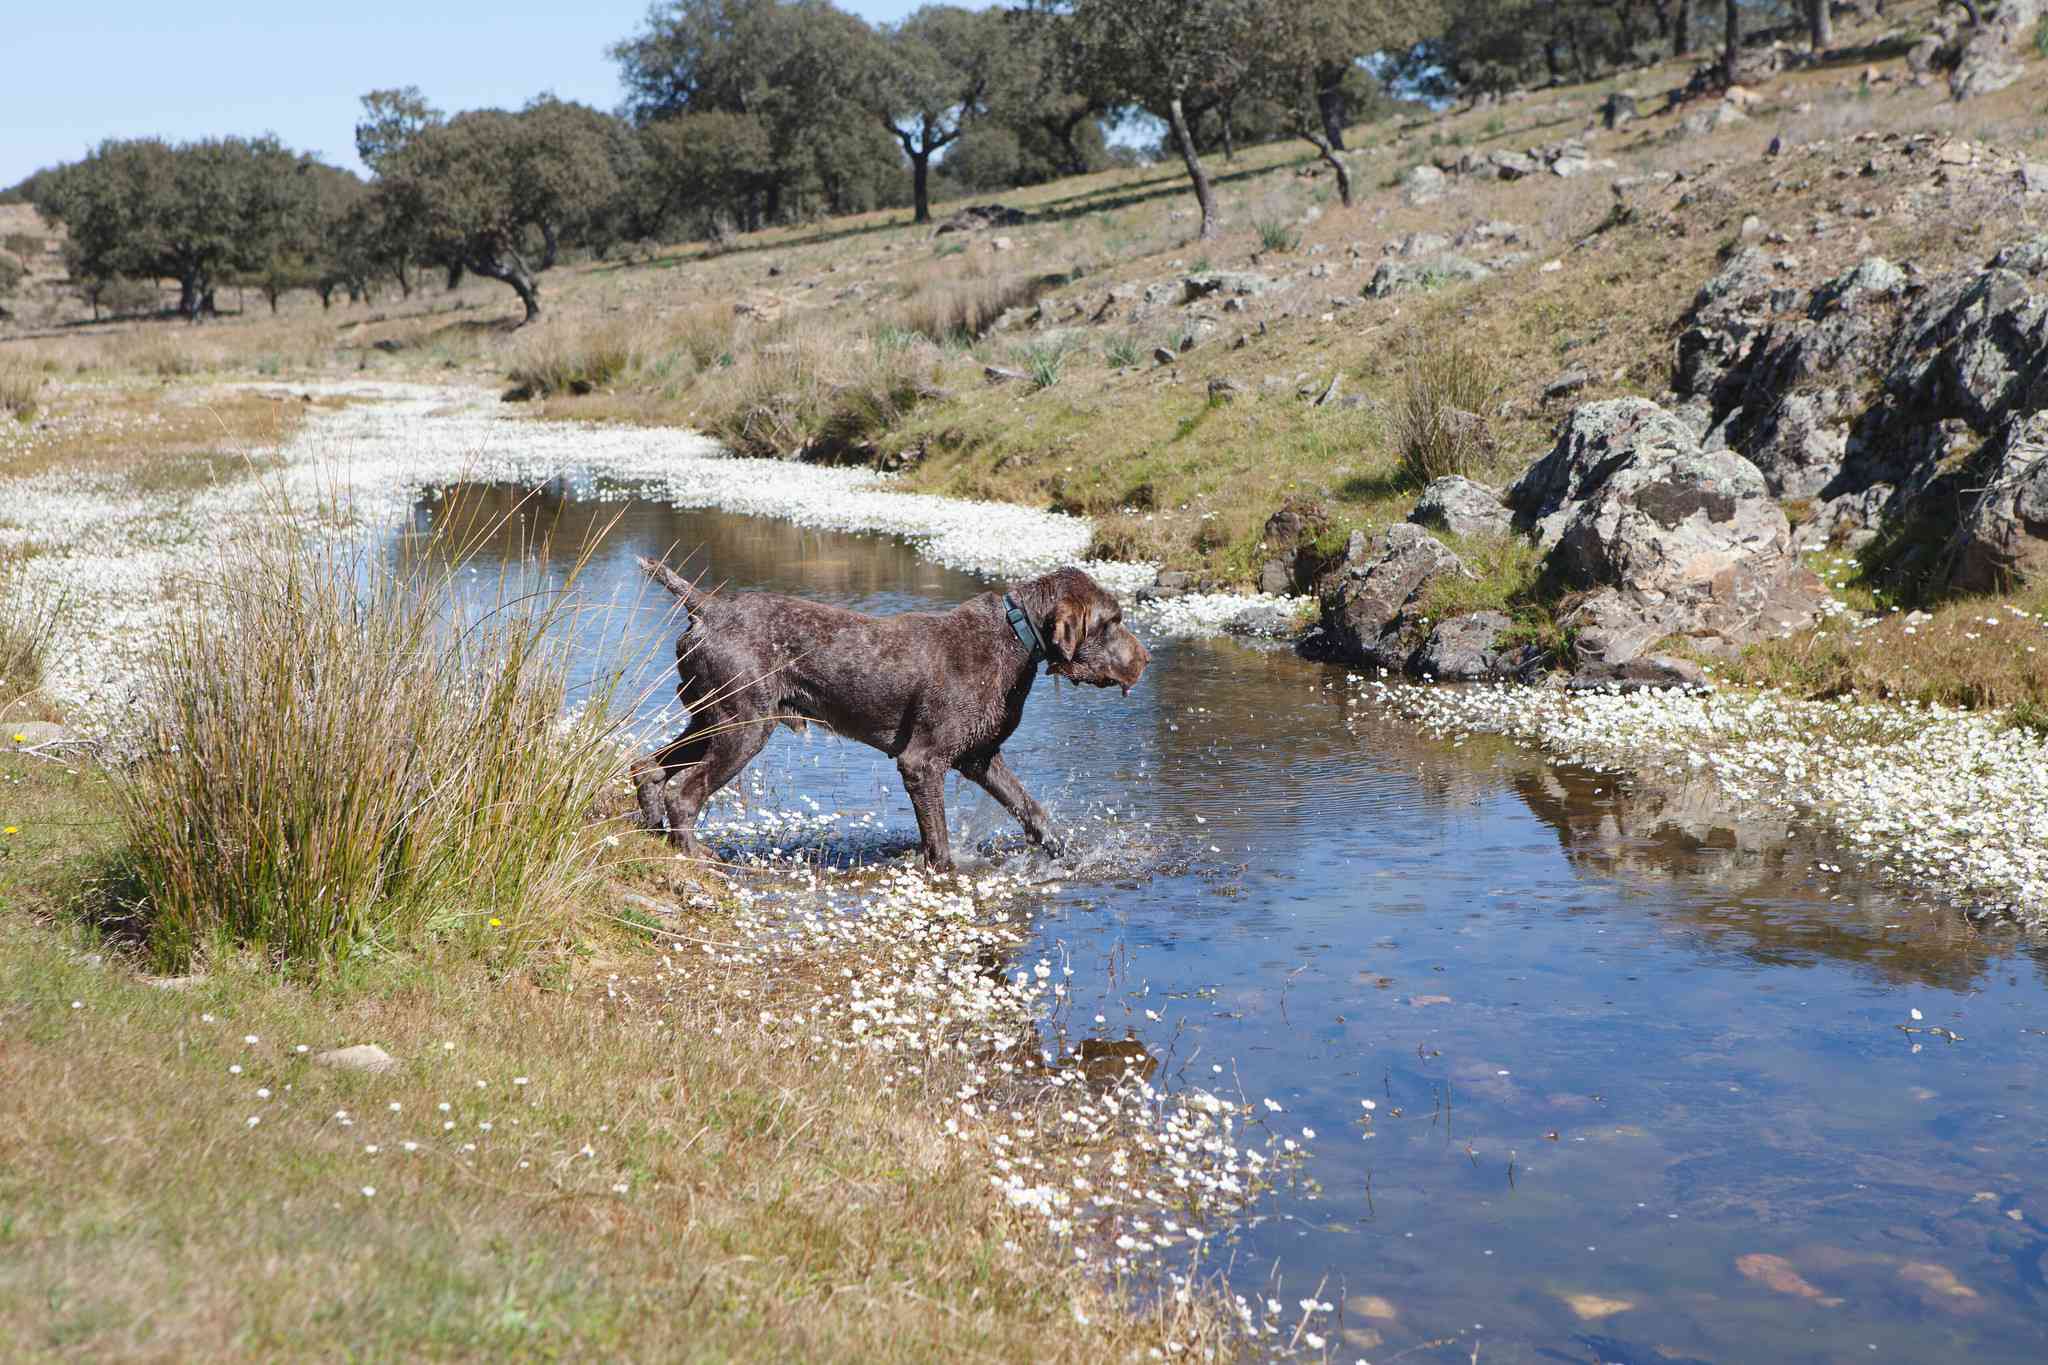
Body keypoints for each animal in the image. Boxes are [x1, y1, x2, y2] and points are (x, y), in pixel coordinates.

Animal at [634, 560, 1155, 871]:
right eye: (1112, 622)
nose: (1145, 660)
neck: (1014, 639)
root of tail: (706, 608)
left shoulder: (980, 758)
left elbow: (1032, 812)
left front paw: (1068, 856)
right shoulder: (922, 763)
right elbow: (938, 842)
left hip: (709, 718)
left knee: (647, 768)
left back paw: (654, 830)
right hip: (742, 726)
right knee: (684, 793)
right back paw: (693, 853)